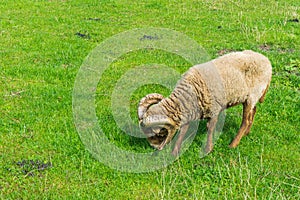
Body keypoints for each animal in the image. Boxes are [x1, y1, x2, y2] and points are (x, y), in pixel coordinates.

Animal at [138, 50, 272, 156]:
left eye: (159, 133)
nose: (155, 148)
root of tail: (266, 60)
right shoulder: (189, 110)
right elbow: (183, 131)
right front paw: (174, 152)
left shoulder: (214, 109)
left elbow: (210, 129)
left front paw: (208, 149)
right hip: (250, 97)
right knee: (253, 111)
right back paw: (246, 133)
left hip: (252, 95)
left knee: (245, 121)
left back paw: (233, 144)